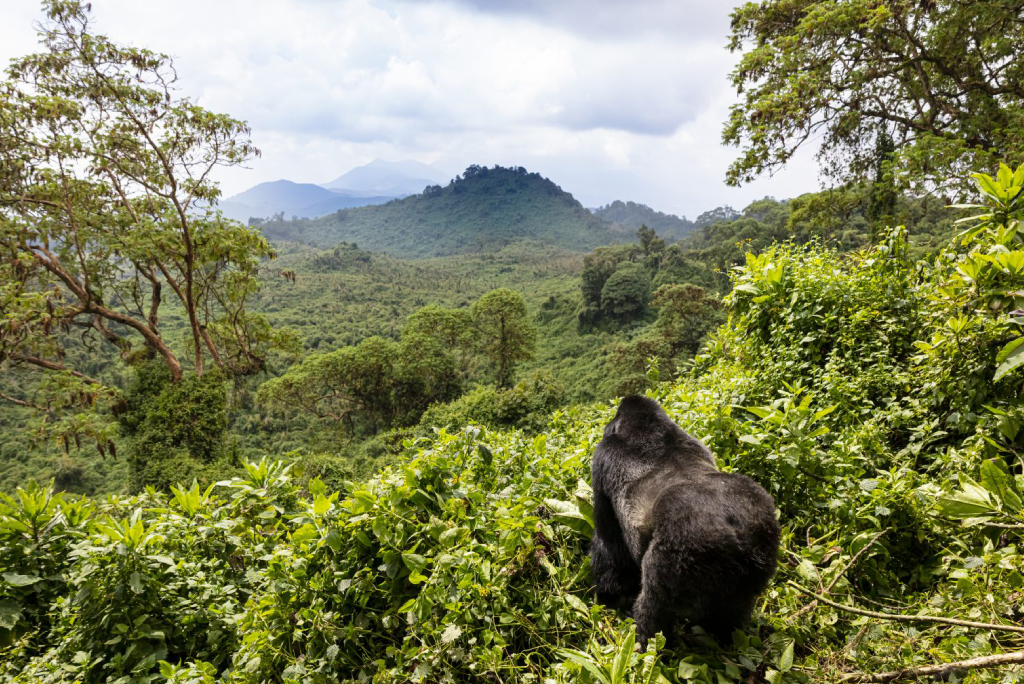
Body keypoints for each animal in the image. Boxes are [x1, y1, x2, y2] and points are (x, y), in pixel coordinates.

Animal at [590, 395, 780, 644]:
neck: (648, 428)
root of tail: (735, 531)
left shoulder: (602, 458)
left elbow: (609, 541)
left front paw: (612, 595)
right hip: (763, 542)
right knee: (733, 610)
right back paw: (724, 635)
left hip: (682, 550)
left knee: (655, 607)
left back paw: (646, 641)